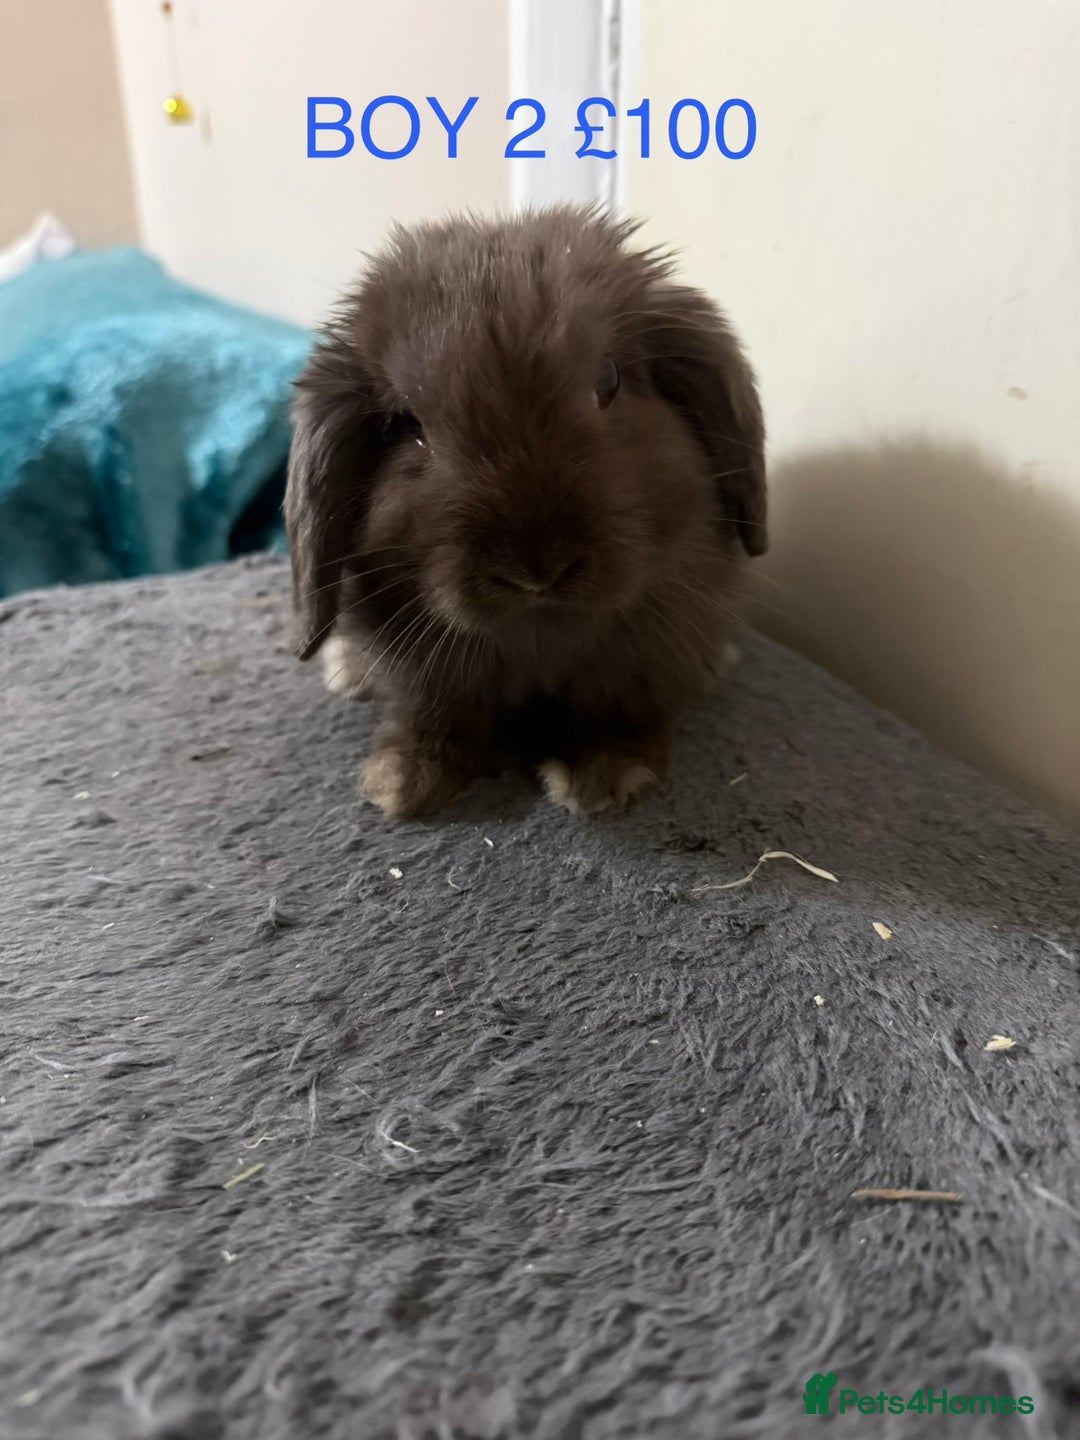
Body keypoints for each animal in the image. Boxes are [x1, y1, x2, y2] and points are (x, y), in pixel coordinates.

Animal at [284, 204, 766, 819]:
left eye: (609, 380)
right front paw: (403, 783)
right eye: (406, 425)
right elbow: (436, 717)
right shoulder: (426, 669)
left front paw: (601, 780)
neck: (539, 633)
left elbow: (623, 717)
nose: (537, 569)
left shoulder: (645, 658)